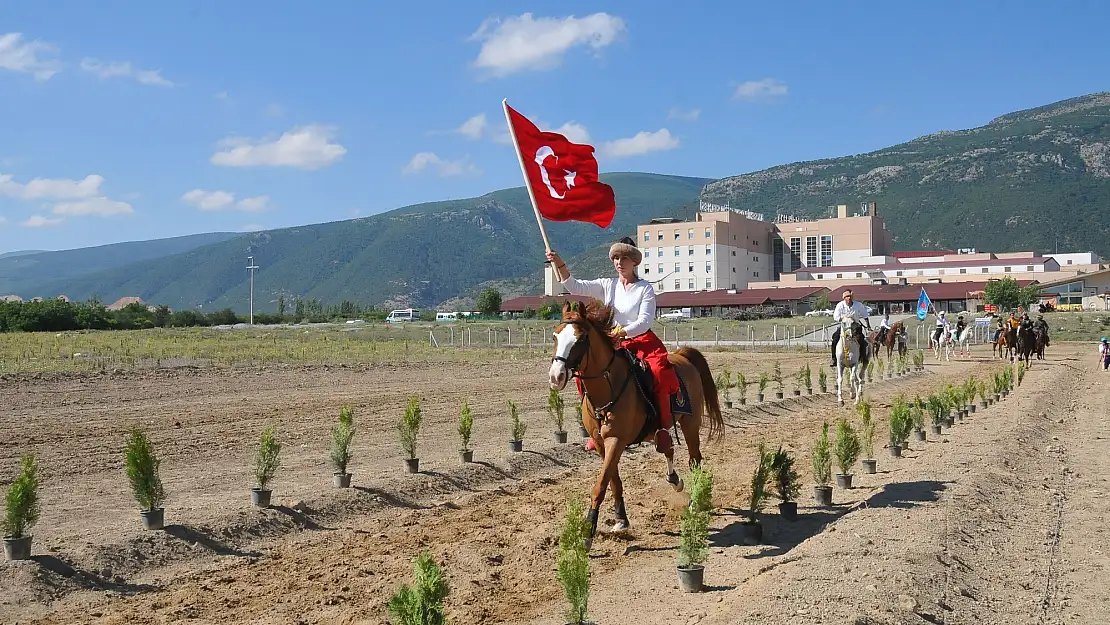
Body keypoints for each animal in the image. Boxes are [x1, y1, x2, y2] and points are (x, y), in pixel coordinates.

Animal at [548, 299, 723, 550]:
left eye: (580, 339)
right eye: (555, 336)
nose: (556, 376)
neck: (608, 387)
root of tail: (682, 356)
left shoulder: (616, 441)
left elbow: (600, 485)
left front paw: (587, 534)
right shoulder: (601, 444)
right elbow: (613, 481)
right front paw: (621, 518)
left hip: (691, 424)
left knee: (695, 460)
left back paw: (694, 502)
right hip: (660, 430)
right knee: (668, 448)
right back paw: (675, 481)